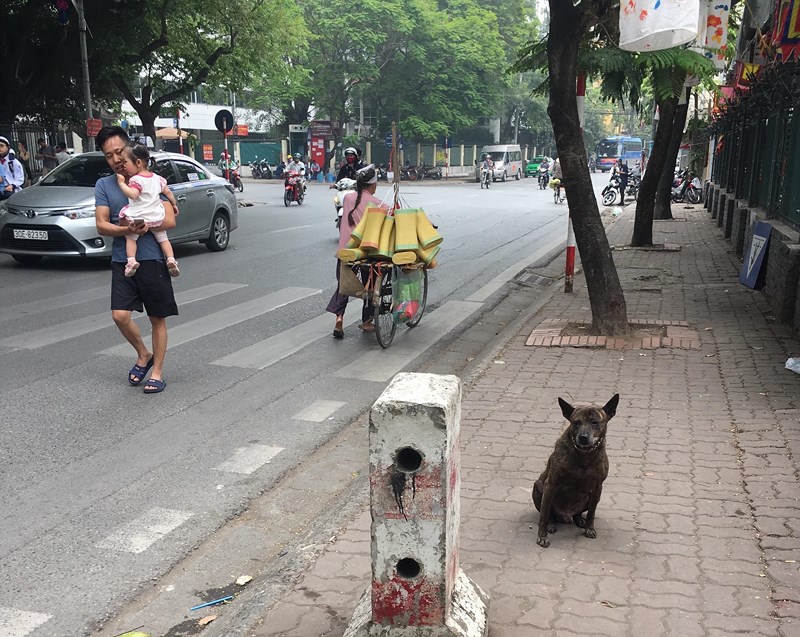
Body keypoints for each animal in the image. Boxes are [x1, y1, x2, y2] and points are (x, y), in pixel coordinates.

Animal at [536, 392, 620, 548]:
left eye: (595, 422)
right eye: (576, 422)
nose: (583, 437)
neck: (584, 455)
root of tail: (566, 515)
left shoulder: (598, 486)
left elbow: (592, 513)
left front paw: (589, 528)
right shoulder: (550, 484)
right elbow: (543, 515)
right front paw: (542, 536)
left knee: (579, 513)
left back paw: (580, 519)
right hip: (538, 487)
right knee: (549, 513)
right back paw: (551, 523)